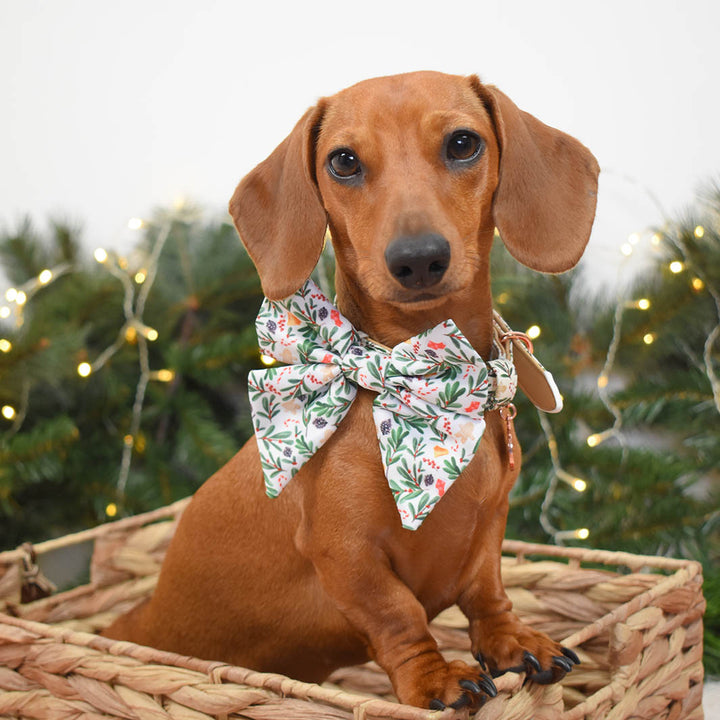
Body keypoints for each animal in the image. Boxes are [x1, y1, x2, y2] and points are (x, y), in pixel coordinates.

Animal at [105, 70, 600, 712]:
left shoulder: (490, 524)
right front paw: (435, 678)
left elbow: (487, 593)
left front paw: (512, 640)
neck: (420, 381)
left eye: (463, 144)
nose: (418, 259)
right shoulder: (347, 554)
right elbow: (399, 616)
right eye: (343, 161)